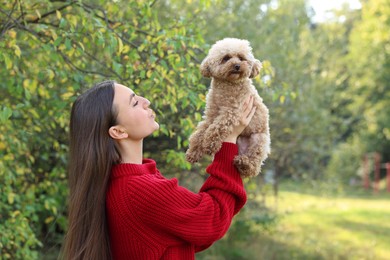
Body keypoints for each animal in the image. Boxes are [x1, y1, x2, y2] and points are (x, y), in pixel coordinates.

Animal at [184, 37, 270, 178]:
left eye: (241, 58)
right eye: (226, 58)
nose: (237, 66)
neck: (227, 85)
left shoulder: (231, 112)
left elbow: (216, 128)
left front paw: (209, 144)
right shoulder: (211, 114)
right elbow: (200, 132)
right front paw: (193, 152)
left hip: (259, 140)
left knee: (254, 165)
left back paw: (244, 163)